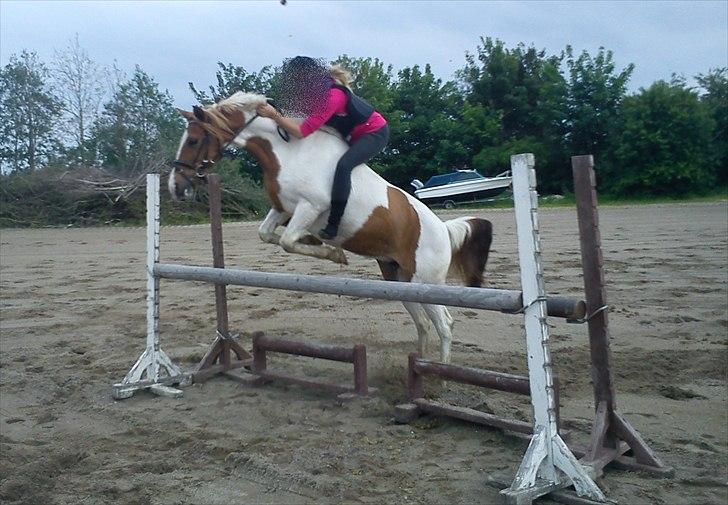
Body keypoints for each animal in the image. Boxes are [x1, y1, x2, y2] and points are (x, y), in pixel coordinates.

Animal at [169, 92, 492, 363]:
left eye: (193, 140)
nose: (175, 187)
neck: (286, 153)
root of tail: (444, 230)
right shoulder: (284, 209)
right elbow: (268, 234)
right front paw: (316, 243)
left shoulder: (310, 207)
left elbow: (287, 240)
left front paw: (332, 252)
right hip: (399, 279)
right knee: (423, 323)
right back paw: (419, 365)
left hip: (425, 281)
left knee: (445, 324)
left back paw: (440, 377)